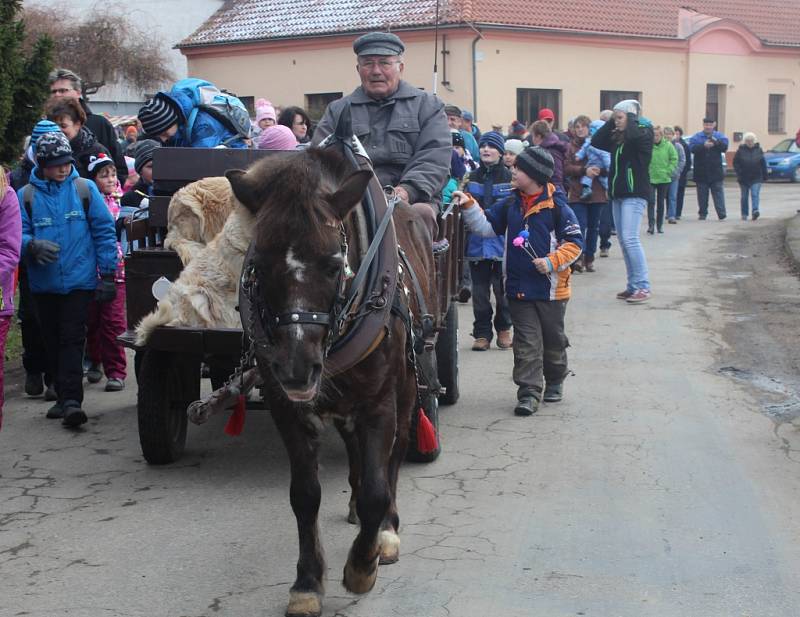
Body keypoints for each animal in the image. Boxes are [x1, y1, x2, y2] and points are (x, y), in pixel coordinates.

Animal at [225, 146, 438, 616]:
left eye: (333, 263)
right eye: (259, 263)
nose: (295, 368)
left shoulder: (379, 403)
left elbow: (379, 485)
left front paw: (362, 564)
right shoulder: (288, 407)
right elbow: (305, 495)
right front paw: (307, 582)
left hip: (407, 386)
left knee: (395, 454)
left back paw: (385, 531)